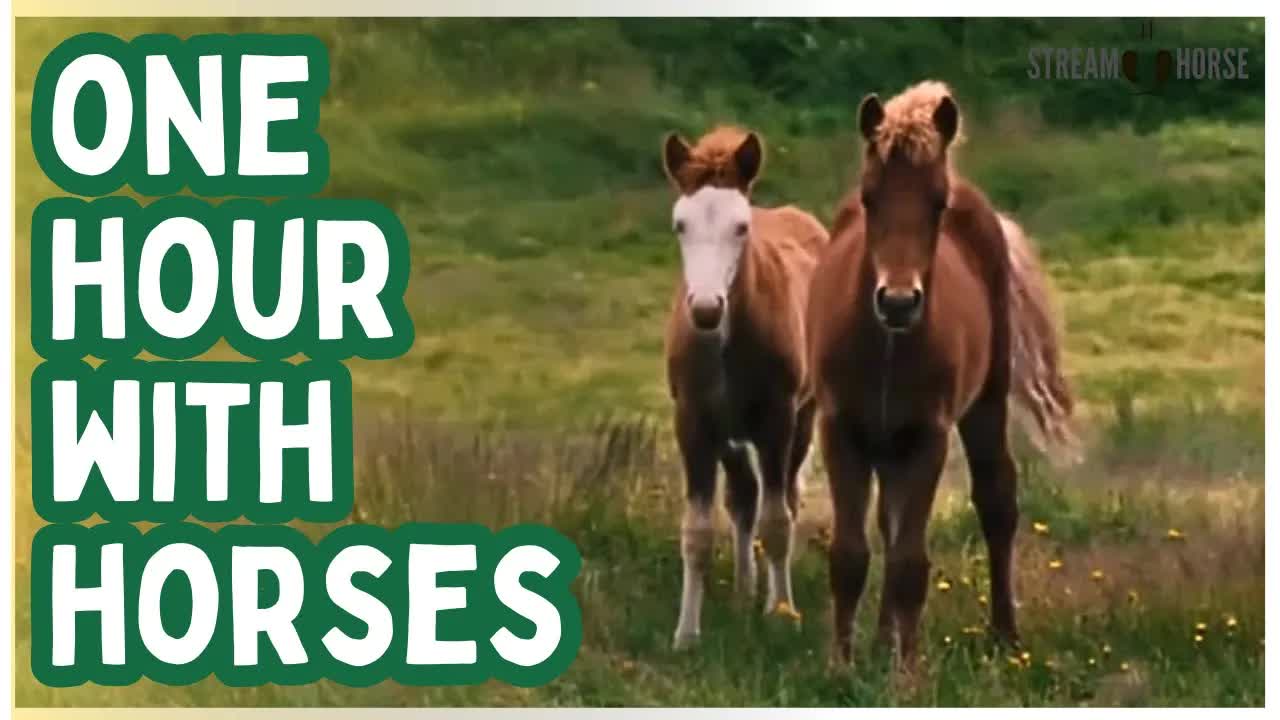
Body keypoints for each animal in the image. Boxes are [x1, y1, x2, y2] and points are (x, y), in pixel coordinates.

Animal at [660, 126, 830, 649]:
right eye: (680, 225)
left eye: (741, 226)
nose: (706, 309)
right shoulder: (694, 424)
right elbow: (697, 532)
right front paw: (686, 633)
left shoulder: (777, 421)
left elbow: (777, 522)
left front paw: (782, 615)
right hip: (730, 435)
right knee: (743, 499)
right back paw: (742, 591)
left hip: (801, 420)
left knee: (782, 498)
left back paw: (770, 594)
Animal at [806, 81, 1077, 669]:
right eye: (870, 199)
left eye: (936, 204)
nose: (898, 301)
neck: (886, 343)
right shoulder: (841, 429)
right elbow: (850, 553)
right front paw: (840, 667)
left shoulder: (928, 435)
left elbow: (911, 564)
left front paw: (906, 674)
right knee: (888, 524)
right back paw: (882, 641)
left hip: (984, 404)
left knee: (996, 501)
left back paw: (1004, 637)